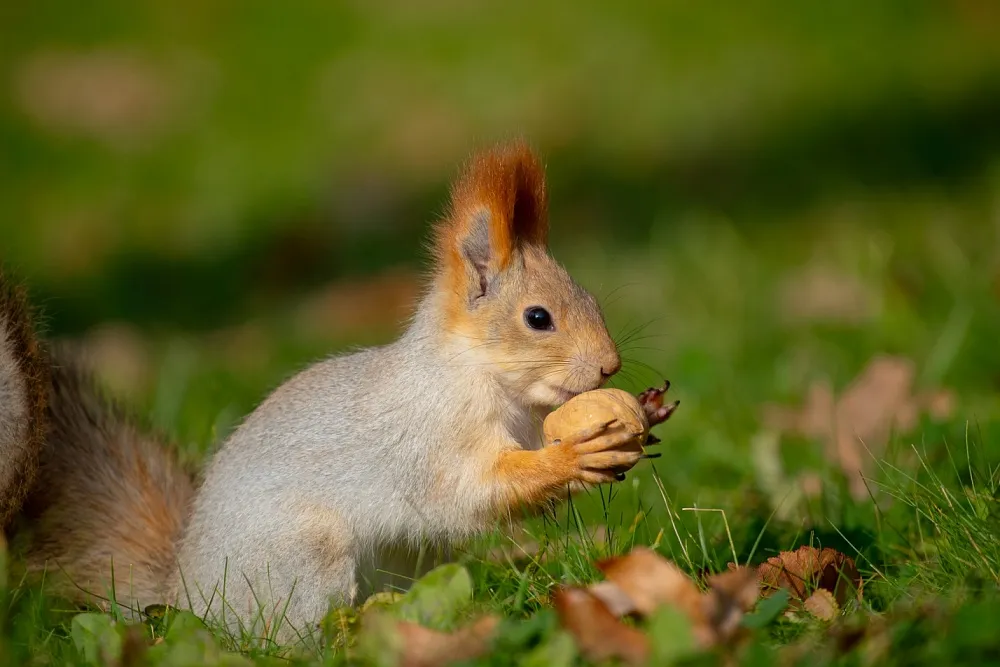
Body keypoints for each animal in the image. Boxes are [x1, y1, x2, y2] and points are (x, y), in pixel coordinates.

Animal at [0, 142, 676, 648]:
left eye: (589, 296)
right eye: (538, 318)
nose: (611, 364)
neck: (482, 380)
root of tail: (186, 593)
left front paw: (644, 412)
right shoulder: (428, 439)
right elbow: (470, 492)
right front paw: (574, 457)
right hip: (303, 559)